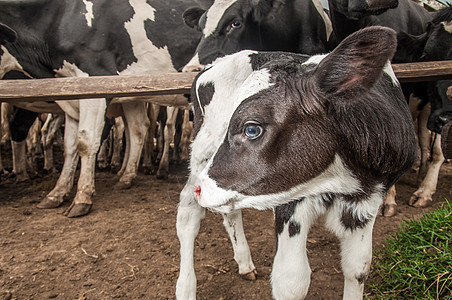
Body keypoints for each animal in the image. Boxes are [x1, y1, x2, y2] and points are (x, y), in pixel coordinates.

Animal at [0, 0, 201, 217]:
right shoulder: (70, 93)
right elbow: (70, 146)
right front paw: (57, 193)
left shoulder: (95, 81)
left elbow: (86, 142)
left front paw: (82, 198)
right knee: (139, 129)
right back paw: (126, 176)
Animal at [175, 26, 414, 300]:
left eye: (251, 129)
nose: (201, 188)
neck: (340, 183)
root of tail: (214, 64)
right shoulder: (290, 203)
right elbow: (291, 281)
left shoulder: (368, 202)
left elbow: (358, 268)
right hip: (202, 152)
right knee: (188, 214)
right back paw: (185, 288)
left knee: (229, 211)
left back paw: (244, 263)